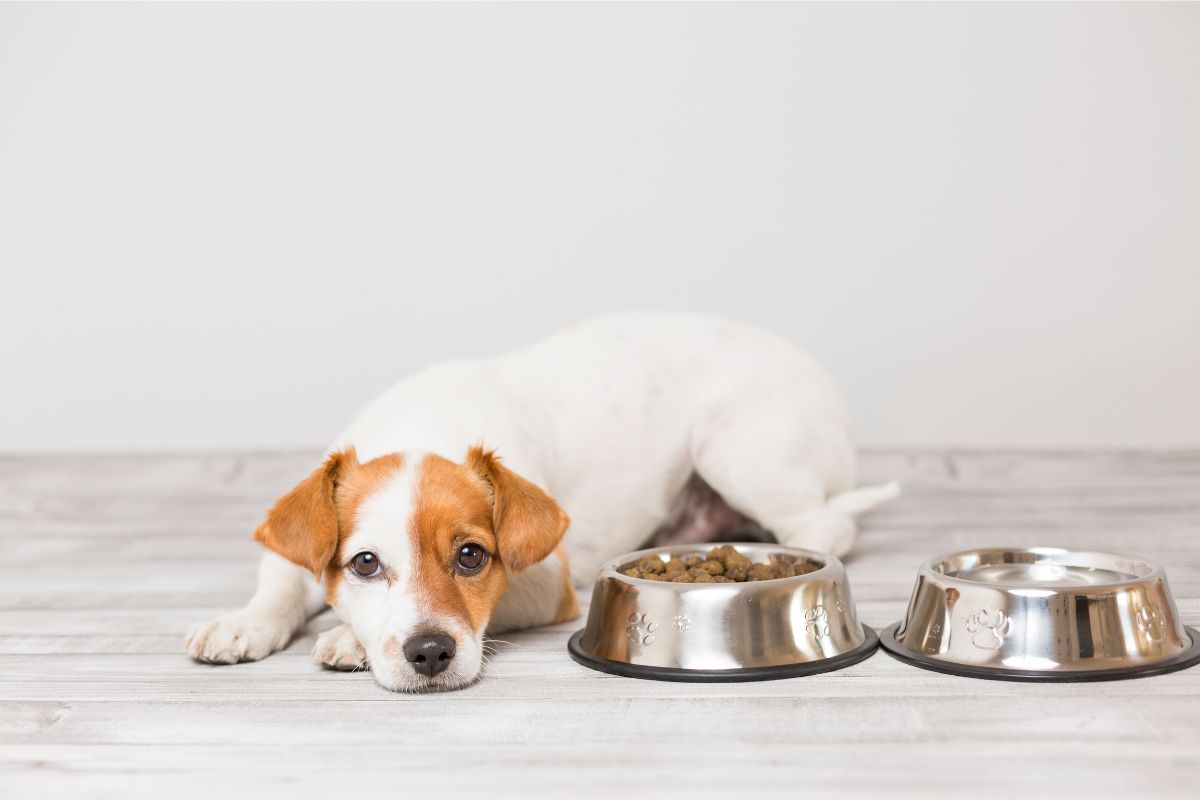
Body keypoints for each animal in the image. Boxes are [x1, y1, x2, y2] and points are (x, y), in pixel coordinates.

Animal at [187, 316, 897, 690]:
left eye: (472, 557)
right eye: (364, 563)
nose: (429, 654)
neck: (422, 425)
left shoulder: (547, 582)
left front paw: (346, 637)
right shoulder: (298, 550)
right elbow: (281, 583)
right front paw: (242, 622)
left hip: (736, 449)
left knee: (826, 522)